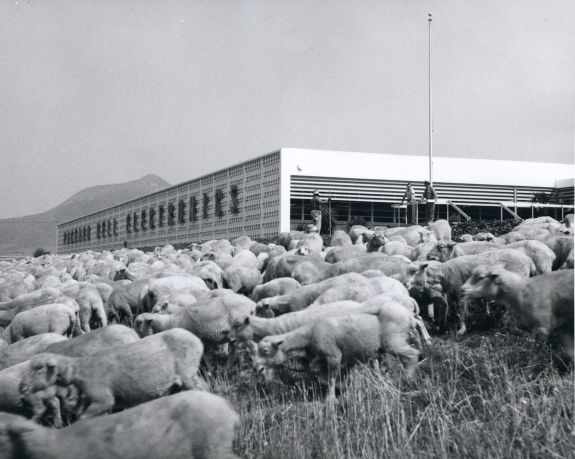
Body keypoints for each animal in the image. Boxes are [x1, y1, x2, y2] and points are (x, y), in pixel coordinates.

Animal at [20, 328, 205, 422]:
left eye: (38, 368)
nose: (22, 387)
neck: (80, 369)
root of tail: (197, 340)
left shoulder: (103, 399)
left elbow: (85, 418)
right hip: (182, 379)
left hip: (187, 374)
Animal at [256, 300, 424, 400]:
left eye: (265, 351)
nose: (257, 369)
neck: (308, 335)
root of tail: (409, 315)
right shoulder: (341, 359)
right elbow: (327, 378)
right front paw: (343, 388)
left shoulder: (333, 356)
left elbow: (330, 379)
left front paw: (330, 399)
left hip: (393, 342)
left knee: (412, 356)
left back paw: (408, 381)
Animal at [404, 248, 536, 334]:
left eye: (414, 271)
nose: (404, 283)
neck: (444, 273)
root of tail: (529, 260)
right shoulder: (453, 294)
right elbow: (452, 308)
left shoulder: (461, 293)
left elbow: (461, 310)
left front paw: (461, 329)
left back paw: (504, 321)